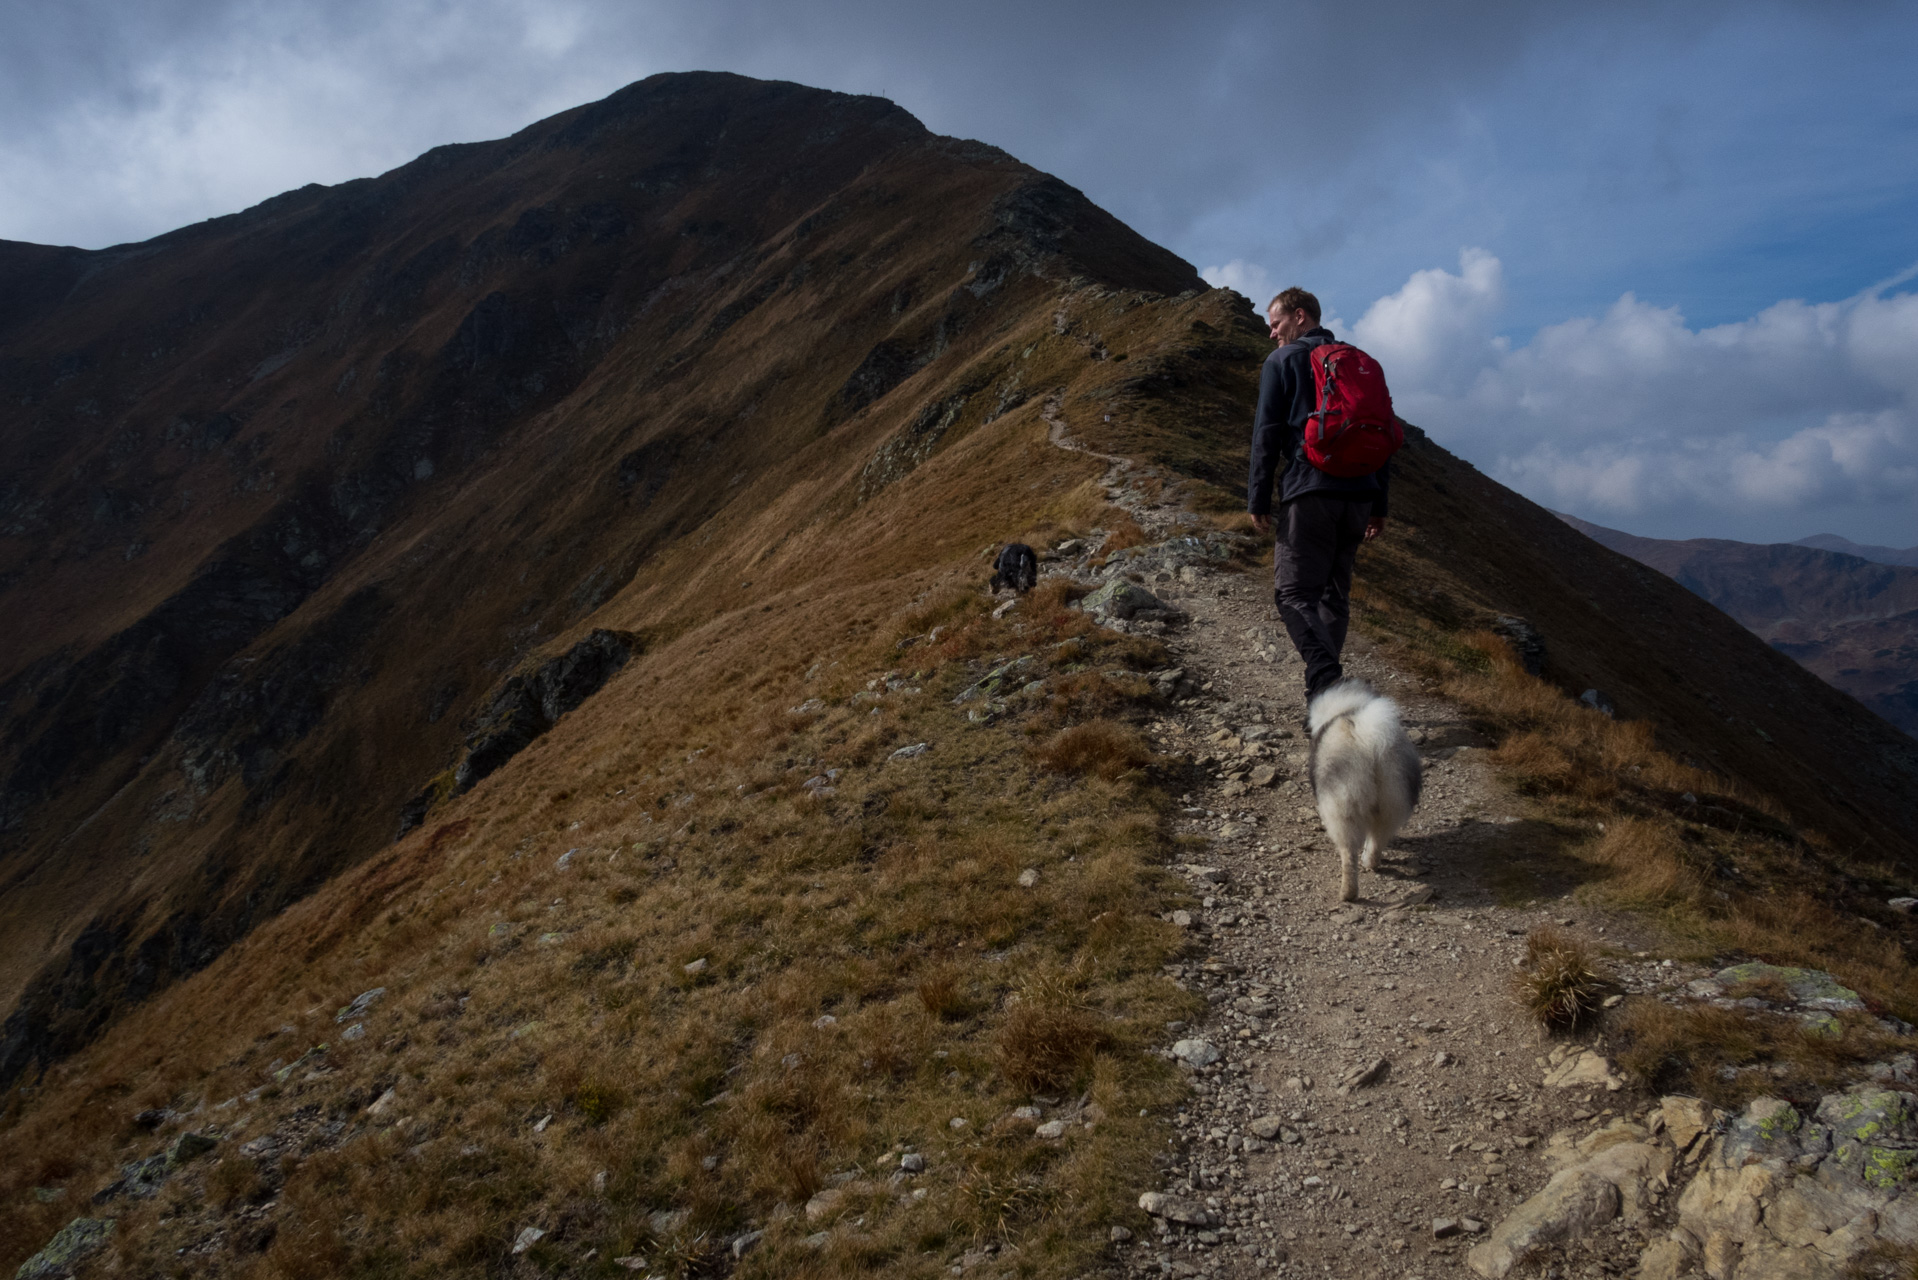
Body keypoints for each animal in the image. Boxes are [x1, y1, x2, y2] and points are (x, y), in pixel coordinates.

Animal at [1311, 679, 1419, 901]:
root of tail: (1370, 741)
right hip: (1391, 803)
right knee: (1377, 841)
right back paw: (1371, 863)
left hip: (1344, 811)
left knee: (1348, 855)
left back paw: (1348, 893)